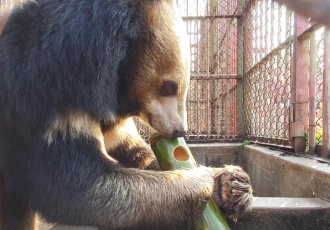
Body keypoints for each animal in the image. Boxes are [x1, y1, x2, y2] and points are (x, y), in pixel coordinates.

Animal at [0, 0, 253, 230]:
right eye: (168, 86)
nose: (180, 130)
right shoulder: (41, 94)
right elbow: (75, 183)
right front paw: (206, 178)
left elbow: (128, 148)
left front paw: (232, 186)